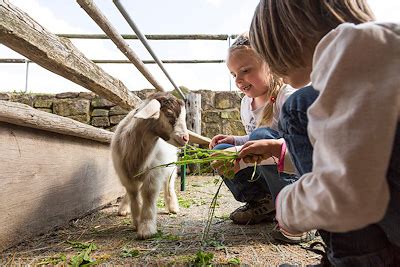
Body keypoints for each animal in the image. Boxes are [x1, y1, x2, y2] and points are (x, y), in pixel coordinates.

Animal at [111, 93, 189, 240]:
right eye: (169, 113)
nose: (185, 138)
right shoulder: (125, 173)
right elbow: (133, 194)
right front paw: (136, 221)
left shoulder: (155, 171)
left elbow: (148, 194)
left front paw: (146, 228)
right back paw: (123, 208)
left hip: (170, 167)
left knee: (169, 185)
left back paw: (173, 207)